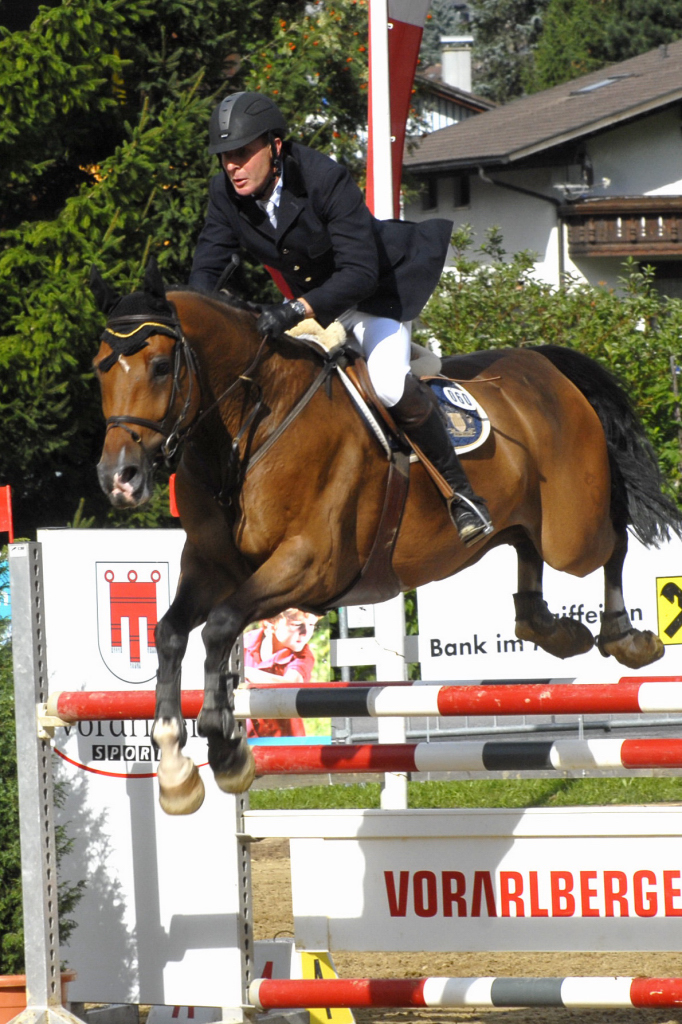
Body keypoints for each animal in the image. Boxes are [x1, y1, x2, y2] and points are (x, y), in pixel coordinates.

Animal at [90, 260, 682, 815]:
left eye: (161, 367)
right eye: (100, 371)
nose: (119, 479)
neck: (248, 428)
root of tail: (544, 364)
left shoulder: (310, 566)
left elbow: (218, 627)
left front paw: (227, 750)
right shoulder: (212, 568)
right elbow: (170, 633)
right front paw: (174, 769)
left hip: (572, 531)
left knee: (612, 543)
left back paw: (625, 638)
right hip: (525, 517)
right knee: (526, 553)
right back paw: (553, 629)